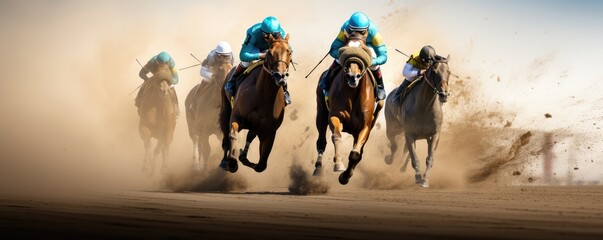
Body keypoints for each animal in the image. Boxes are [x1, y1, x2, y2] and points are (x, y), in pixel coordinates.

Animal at [219, 33, 292, 172]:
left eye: (289, 51)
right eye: (270, 52)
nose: (280, 76)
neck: (263, 97)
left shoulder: (269, 133)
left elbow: (261, 166)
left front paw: (242, 156)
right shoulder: (236, 116)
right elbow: (233, 134)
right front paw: (232, 162)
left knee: (250, 136)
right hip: (225, 110)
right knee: (225, 135)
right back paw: (225, 161)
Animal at [314, 31, 384, 185]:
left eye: (365, 49)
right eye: (345, 47)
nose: (353, 76)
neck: (354, 94)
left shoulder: (365, 126)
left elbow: (355, 154)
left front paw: (345, 176)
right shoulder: (335, 116)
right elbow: (336, 136)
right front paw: (338, 164)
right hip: (321, 112)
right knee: (321, 141)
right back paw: (318, 167)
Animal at [384, 55, 450, 188]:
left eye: (449, 72)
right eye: (434, 72)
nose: (444, 94)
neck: (424, 107)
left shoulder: (434, 135)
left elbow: (429, 158)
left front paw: (424, 180)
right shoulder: (409, 134)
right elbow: (414, 157)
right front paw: (418, 177)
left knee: (404, 150)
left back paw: (402, 168)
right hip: (393, 127)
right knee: (394, 145)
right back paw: (389, 160)